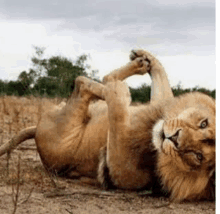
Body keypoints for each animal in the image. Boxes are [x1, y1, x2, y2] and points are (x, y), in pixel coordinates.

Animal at [0, 49, 215, 201]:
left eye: (198, 156)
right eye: (203, 123)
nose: (174, 137)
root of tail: (36, 130)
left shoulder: (119, 165)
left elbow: (117, 103)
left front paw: (119, 87)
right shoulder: (160, 107)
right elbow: (161, 88)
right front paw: (146, 58)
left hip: (67, 127)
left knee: (82, 83)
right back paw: (138, 64)